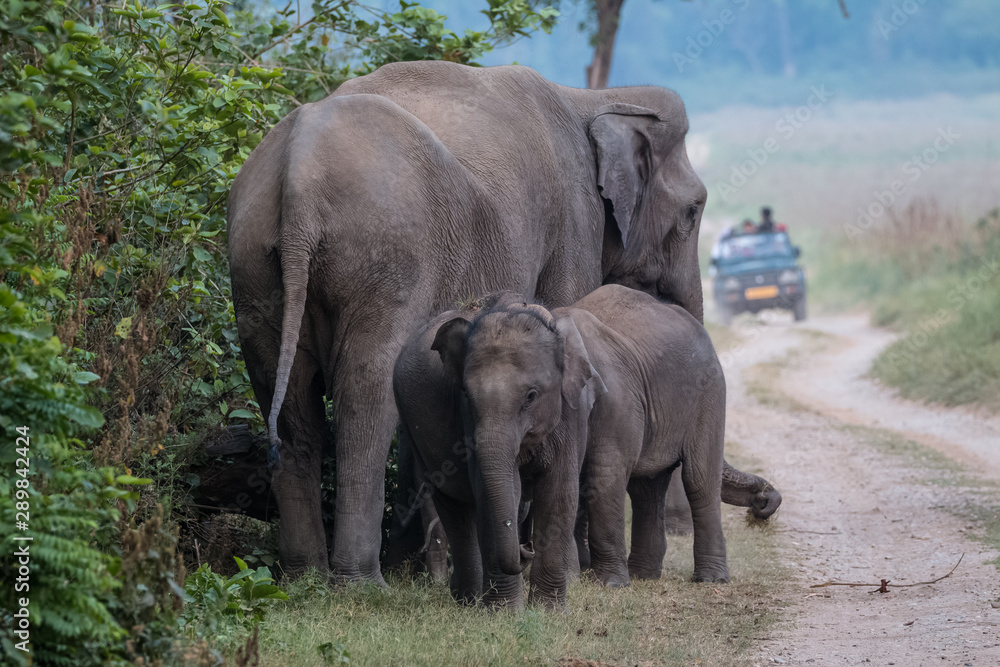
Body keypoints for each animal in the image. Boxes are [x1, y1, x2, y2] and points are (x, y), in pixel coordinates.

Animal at [227, 64, 712, 584]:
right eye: (694, 210)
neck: (595, 98)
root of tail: (299, 176)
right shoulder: (574, 218)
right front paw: (571, 568)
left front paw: (422, 567)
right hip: (384, 258)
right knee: (365, 392)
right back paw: (362, 583)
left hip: (254, 266)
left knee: (290, 406)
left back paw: (308, 576)